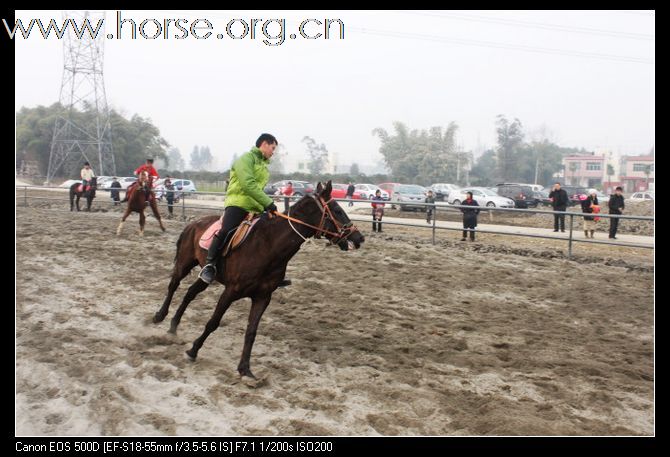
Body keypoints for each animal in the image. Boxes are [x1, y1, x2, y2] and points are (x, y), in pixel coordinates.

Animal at [152, 180, 364, 380]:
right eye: (337, 210)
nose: (359, 237)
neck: (268, 246)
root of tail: (194, 223)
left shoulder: (262, 297)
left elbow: (251, 332)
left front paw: (245, 369)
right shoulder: (230, 291)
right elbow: (213, 322)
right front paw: (193, 350)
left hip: (206, 276)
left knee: (189, 293)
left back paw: (173, 325)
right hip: (185, 263)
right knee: (173, 285)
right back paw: (159, 316)